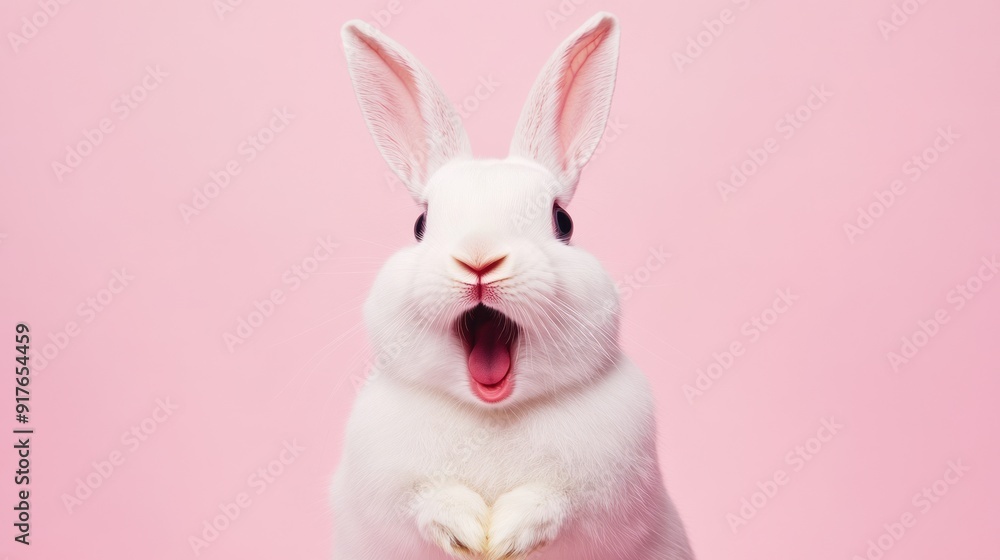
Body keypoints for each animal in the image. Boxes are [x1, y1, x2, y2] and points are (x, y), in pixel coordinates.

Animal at [332, 12, 695, 560]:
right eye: (420, 224)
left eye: (563, 221)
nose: (479, 259)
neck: (494, 413)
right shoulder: (386, 490)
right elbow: (424, 501)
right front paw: (467, 530)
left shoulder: (610, 492)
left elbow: (556, 503)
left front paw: (504, 536)